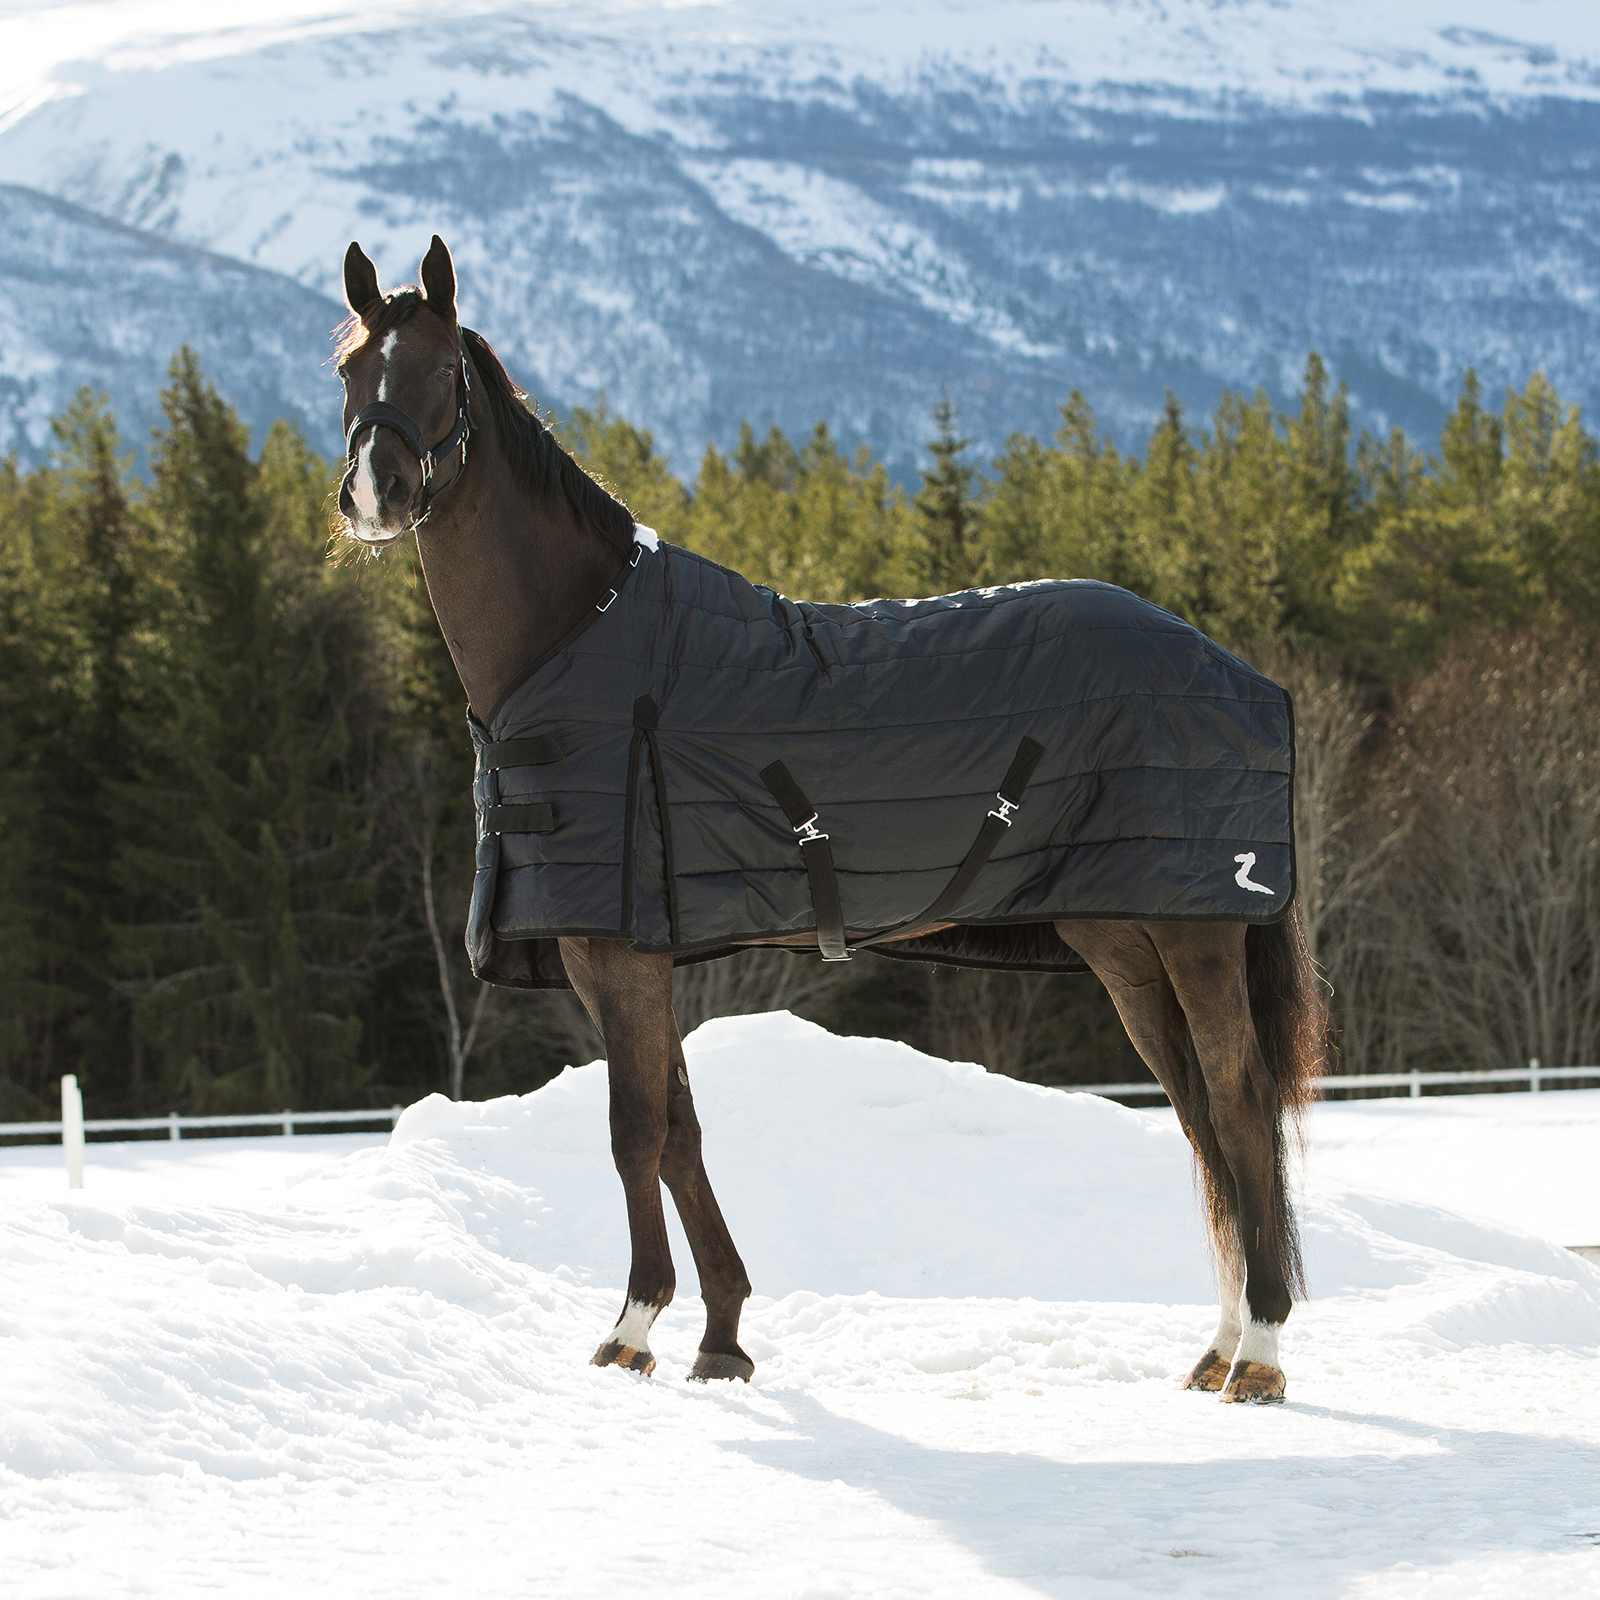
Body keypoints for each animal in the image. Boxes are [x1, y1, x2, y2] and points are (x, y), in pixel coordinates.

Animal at [334, 233, 1324, 1401]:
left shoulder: (615, 951)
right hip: (1124, 940)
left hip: (1195, 933)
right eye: (349, 372)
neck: (582, 640)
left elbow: (634, 1130)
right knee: (1199, 1116)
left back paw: (1260, 1351)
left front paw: (634, 1327)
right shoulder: (633, 952)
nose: (374, 490)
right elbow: (681, 1131)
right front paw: (721, 1333)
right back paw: (1218, 1343)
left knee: (1240, 1102)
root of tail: (1231, 669)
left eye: (440, 370)